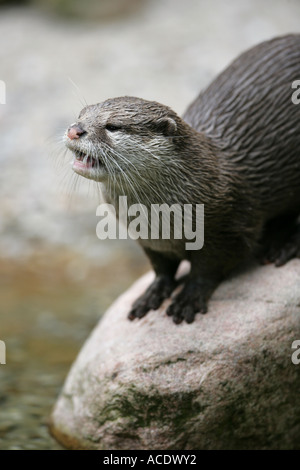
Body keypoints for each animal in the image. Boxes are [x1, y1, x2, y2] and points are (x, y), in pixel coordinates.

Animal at [63, 35, 300, 324]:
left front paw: (189, 298)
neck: (163, 221)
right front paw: (152, 293)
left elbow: (208, 269)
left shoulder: (228, 231)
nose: (74, 130)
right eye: (81, 115)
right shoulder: (148, 240)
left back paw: (285, 246)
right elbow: (161, 268)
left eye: (113, 126)